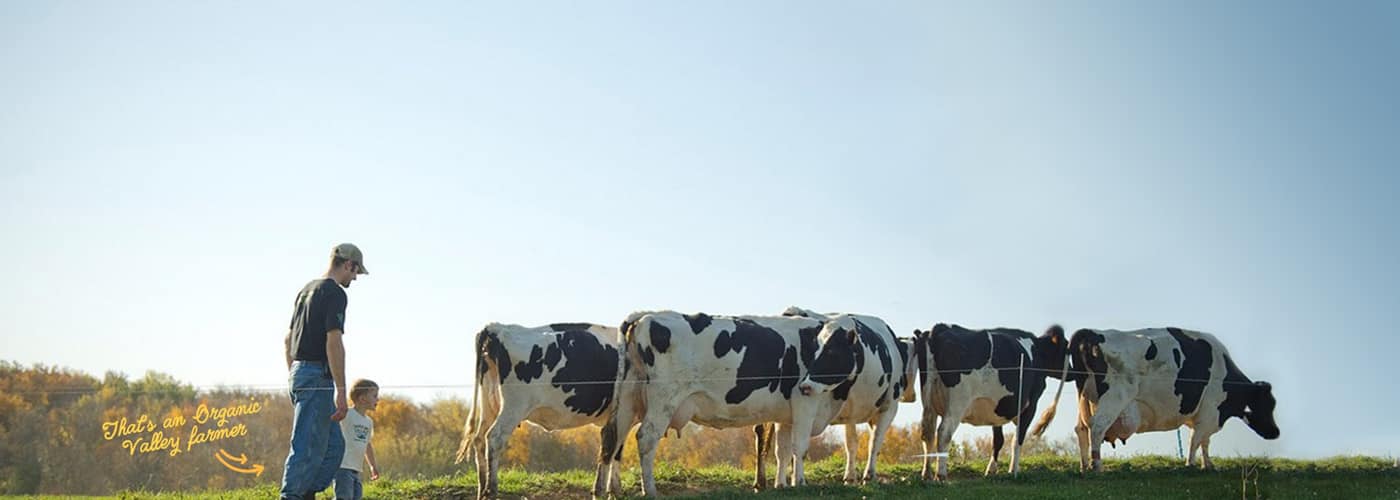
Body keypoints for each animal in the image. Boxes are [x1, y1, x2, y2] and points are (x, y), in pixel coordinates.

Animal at [453, 320, 630, 495]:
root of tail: (496, 327)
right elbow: (615, 449)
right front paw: (614, 490)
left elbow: (612, 450)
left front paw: (612, 489)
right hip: (514, 406)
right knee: (495, 438)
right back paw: (491, 489)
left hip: (489, 404)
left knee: (478, 439)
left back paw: (482, 489)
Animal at [912, 323, 1064, 478]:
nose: (1070, 373)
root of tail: (939, 328)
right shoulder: (1030, 405)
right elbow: (1017, 439)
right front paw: (1013, 470)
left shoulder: (996, 408)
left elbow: (998, 440)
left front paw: (991, 470)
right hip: (957, 404)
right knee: (944, 432)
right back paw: (941, 475)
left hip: (929, 402)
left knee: (927, 433)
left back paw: (927, 473)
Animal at [1069, 327, 1282, 470]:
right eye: (1266, 405)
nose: (1275, 432)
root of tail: (1093, 333)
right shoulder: (1210, 412)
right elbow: (1196, 439)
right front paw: (1191, 464)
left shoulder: (1206, 415)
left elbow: (1204, 441)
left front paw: (1208, 465)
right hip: (1115, 398)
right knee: (1097, 426)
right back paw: (1097, 466)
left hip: (1084, 400)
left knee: (1081, 429)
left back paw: (1084, 466)